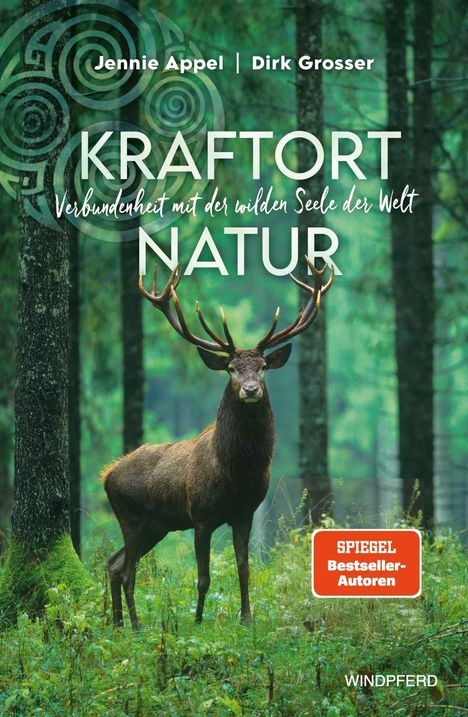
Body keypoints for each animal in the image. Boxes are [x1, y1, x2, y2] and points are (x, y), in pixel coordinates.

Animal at [103, 256, 334, 629]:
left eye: (264, 366)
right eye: (231, 369)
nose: (251, 390)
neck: (236, 472)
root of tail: (107, 475)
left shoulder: (245, 512)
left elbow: (244, 568)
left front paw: (247, 619)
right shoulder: (201, 515)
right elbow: (203, 576)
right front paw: (198, 621)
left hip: (157, 525)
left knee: (114, 562)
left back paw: (118, 624)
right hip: (131, 516)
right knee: (126, 570)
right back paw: (135, 626)